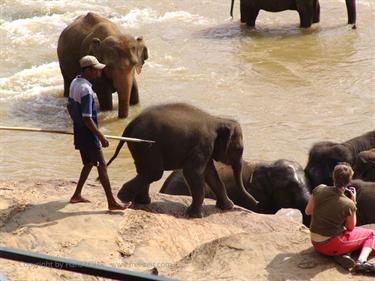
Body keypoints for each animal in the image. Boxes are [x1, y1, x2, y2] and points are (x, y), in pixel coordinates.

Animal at [106, 102, 258, 217]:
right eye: (238, 149)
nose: (257, 203)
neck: (218, 120)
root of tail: (130, 123)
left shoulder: (206, 150)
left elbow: (211, 174)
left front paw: (228, 207)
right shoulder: (203, 144)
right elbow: (192, 172)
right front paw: (195, 216)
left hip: (140, 147)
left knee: (145, 171)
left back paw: (142, 202)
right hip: (146, 144)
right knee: (154, 172)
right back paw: (123, 198)